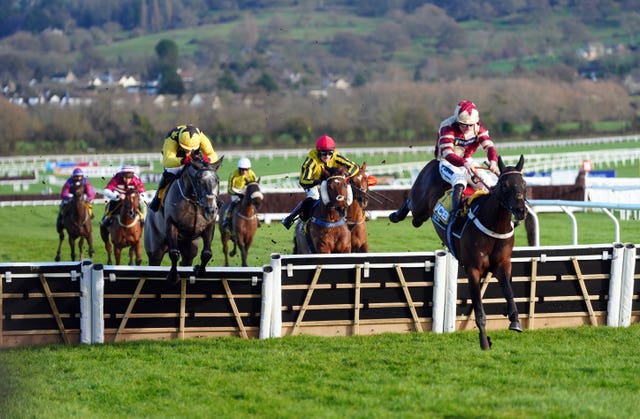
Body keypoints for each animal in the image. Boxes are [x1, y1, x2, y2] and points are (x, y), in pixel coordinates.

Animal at [144, 153, 224, 284]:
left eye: (217, 180)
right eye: (199, 180)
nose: (211, 209)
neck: (194, 201)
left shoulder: (209, 226)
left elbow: (207, 253)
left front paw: (199, 270)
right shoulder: (171, 225)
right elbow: (174, 254)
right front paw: (173, 276)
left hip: (189, 249)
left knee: (186, 260)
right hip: (155, 250)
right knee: (155, 262)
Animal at [432, 155, 528, 352]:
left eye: (523, 183)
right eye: (504, 185)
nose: (520, 211)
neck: (494, 225)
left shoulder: (502, 264)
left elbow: (509, 292)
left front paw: (514, 320)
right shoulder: (473, 270)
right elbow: (479, 310)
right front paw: (484, 343)